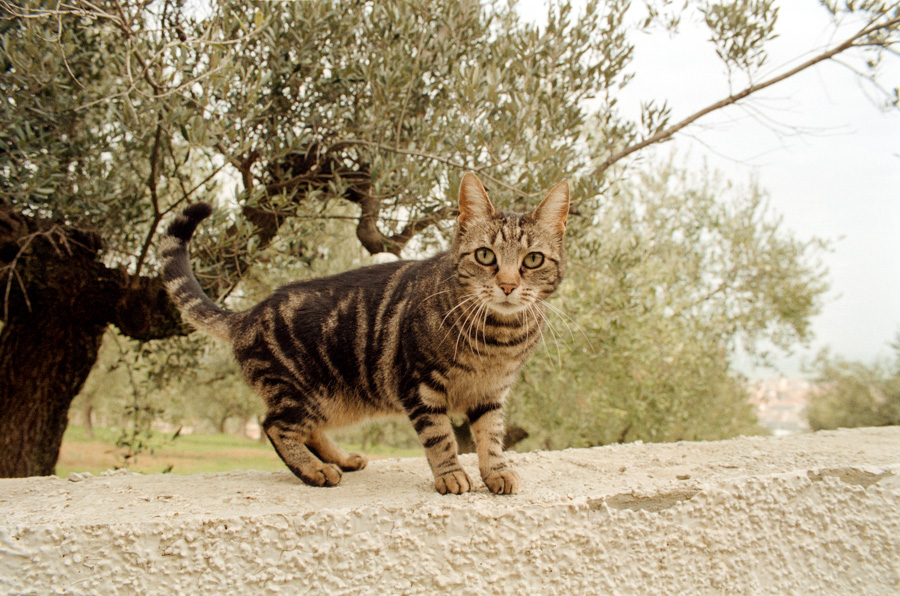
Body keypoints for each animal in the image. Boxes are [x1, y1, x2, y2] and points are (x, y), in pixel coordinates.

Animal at [160, 172, 568, 494]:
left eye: (533, 260)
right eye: (485, 256)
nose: (508, 285)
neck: (497, 338)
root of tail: (249, 314)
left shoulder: (491, 394)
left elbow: (492, 437)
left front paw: (496, 472)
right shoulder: (420, 385)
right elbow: (440, 437)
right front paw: (451, 475)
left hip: (332, 402)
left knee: (307, 430)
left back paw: (341, 458)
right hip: (302, 392)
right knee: (276, 427)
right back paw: (315, 470)